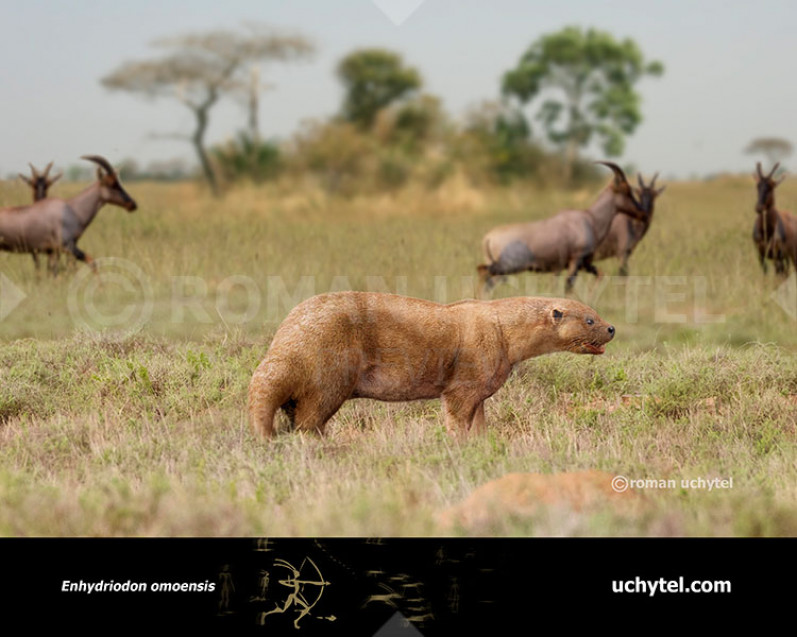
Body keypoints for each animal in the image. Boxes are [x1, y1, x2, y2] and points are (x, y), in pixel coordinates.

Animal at [248, 292, 615, 438]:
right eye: (589, 319)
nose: (612, 327)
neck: (502, 328)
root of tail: (286, 345)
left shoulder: (482, 385)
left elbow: (479, 416)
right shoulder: (468, 374)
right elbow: (457, 410)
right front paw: (459, 442)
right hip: (330, 370)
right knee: (310, 418)